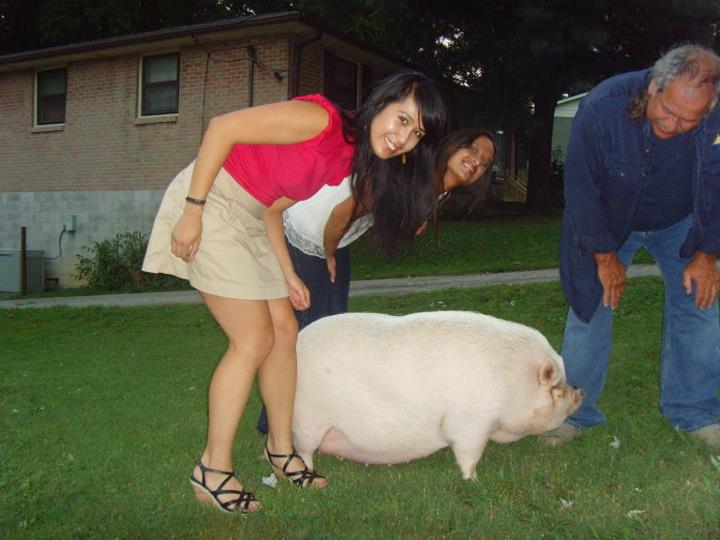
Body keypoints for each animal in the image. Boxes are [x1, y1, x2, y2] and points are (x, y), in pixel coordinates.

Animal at [292, 310, 584, 478]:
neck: (513, 382)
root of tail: (297, 343)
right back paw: (311, 476)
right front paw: (473, 480)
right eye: (557, 389)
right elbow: (468, 453)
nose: (580, 392)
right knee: (303, 449)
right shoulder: (471, 422)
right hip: (309, 418)